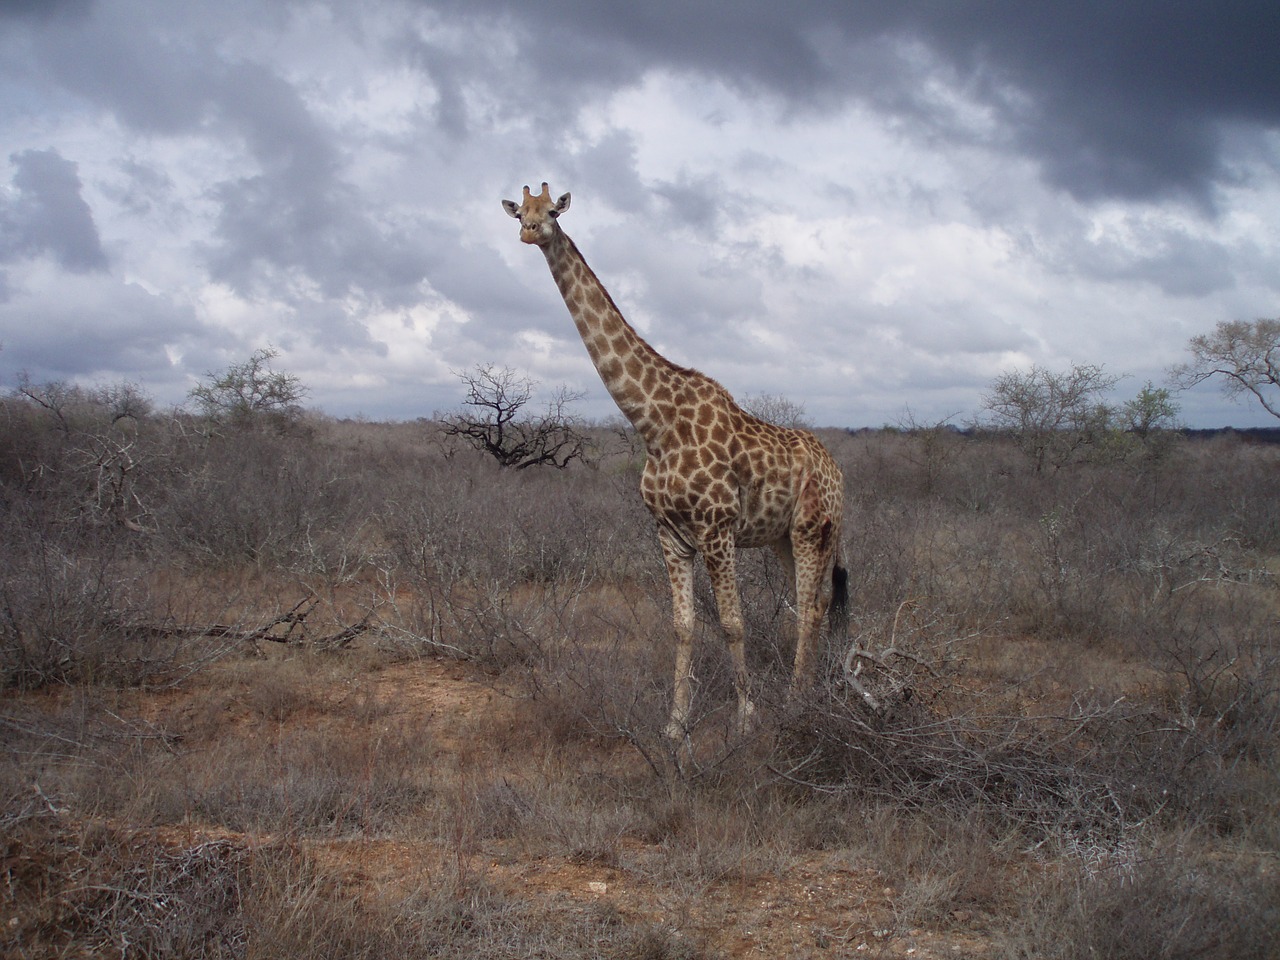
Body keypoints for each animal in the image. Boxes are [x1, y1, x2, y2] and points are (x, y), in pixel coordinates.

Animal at [501, 181, 849, 742]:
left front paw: (745, 719)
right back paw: (807, 693)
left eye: (552, 211)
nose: (530, 232)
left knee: (809, 608)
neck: (655, 423)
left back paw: (798, 702)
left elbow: (732, 623)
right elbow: (683, 625)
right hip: (784, 536)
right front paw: (675, 724)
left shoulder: (716, 528)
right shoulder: (668, 532)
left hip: (814, 529)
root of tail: (839, 472)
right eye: (521, 211)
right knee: (812, 604)